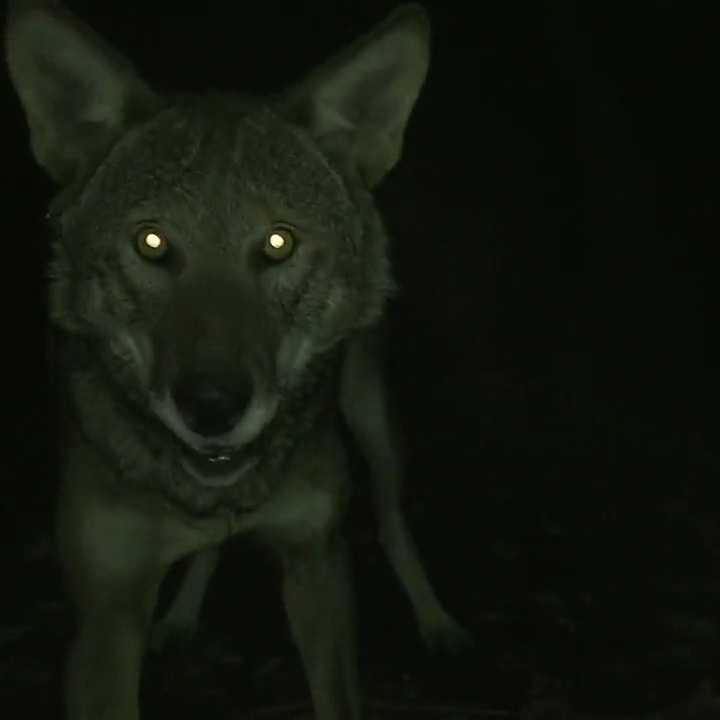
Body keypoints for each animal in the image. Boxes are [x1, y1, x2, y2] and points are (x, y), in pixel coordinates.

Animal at [5, 0, 468, 717]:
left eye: (279, 244)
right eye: (152, 242)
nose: (213, 407)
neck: (207, 497)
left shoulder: (318, 559)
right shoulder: (106, 617)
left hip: (375, 423)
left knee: (393, 522)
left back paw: (437, 622)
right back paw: (180, 619)